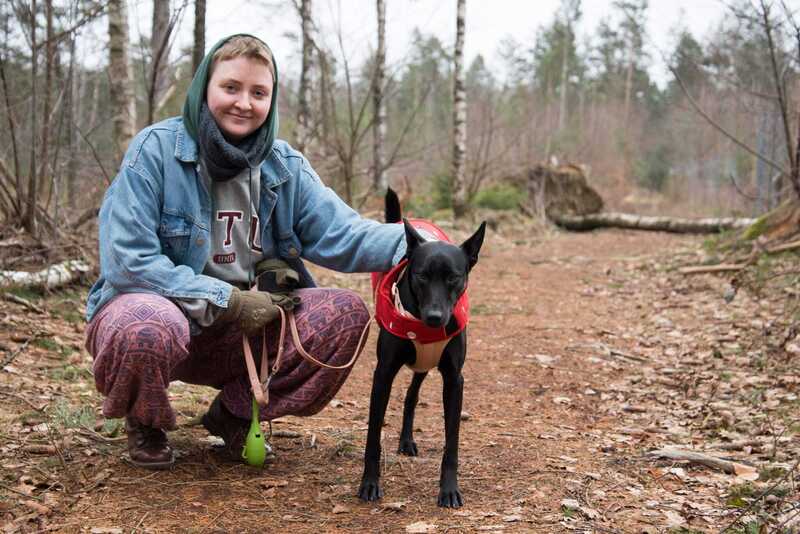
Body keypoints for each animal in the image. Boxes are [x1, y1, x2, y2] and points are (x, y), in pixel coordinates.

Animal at [358, 191, 484, 508]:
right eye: (422, 276)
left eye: (453, 277)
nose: (436, 317)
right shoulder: (383, 375)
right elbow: (373, 437)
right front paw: (369, 483)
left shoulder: (454, 380)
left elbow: (452, 442)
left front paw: (449, 489)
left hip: (425, 364)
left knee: (411, 397)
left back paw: (406, 440)